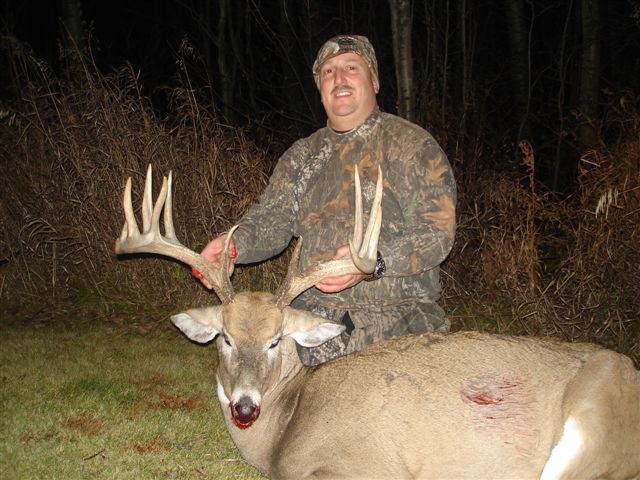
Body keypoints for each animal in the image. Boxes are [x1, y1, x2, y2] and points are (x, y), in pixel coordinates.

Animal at [115, 164, 640, 480]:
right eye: (225, 337)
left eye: (276, 341)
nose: (245, 406)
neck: (286, 429)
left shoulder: (374, 464)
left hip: (590, 425)